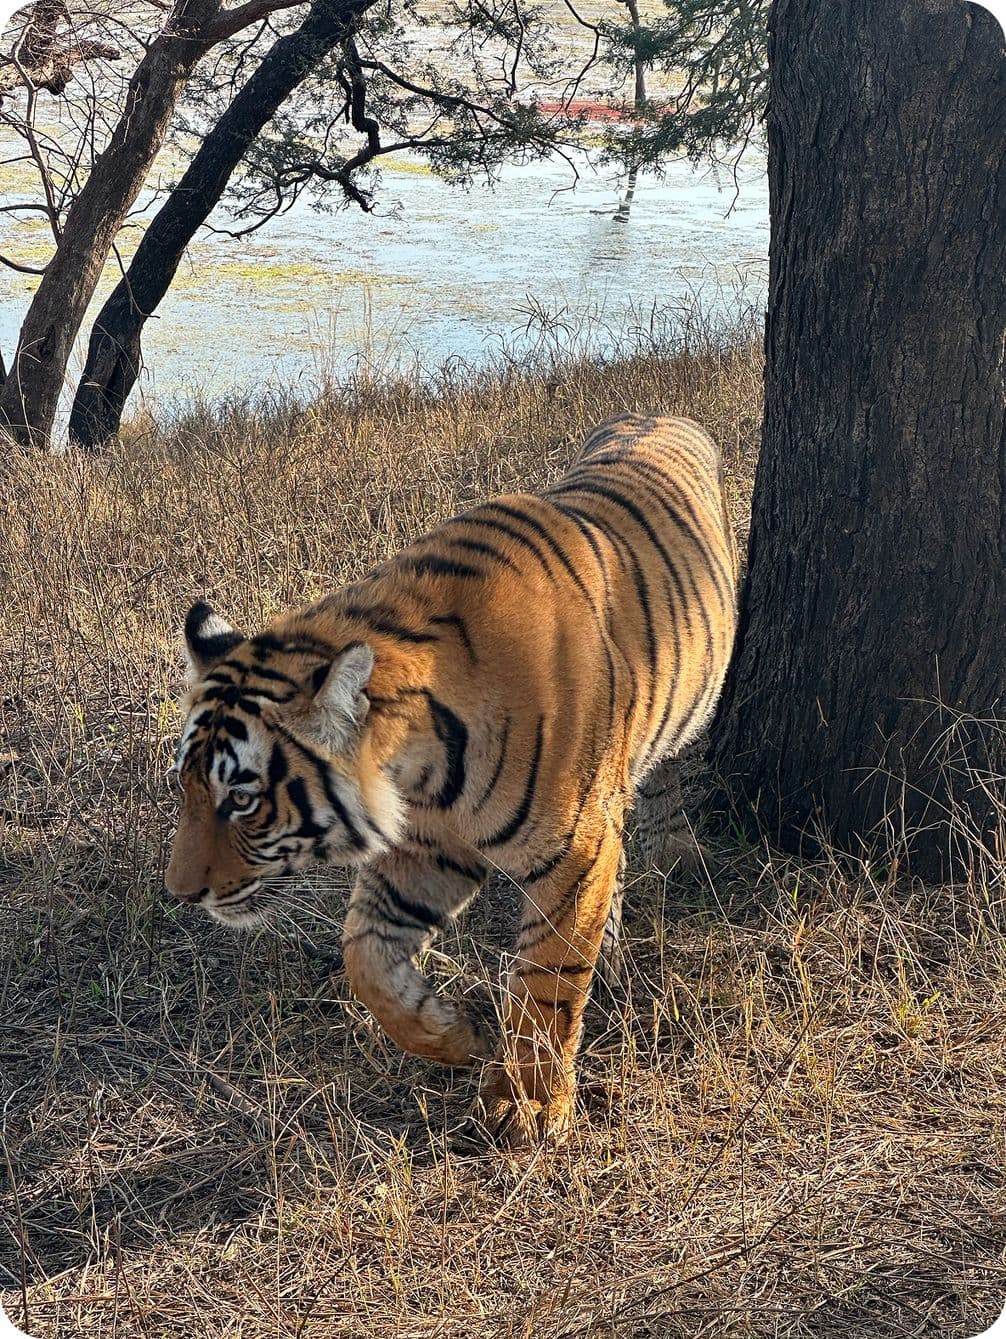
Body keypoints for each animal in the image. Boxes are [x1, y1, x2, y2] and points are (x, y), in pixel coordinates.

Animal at [165, 413, 739, 1147]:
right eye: (185, 786)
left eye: (242, 799)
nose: (182, 893)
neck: (420, 764)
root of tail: (657, 413)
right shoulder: (429, 848)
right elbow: (364, 956)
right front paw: (455, 1036)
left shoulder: (572, 846)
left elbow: (546, 979)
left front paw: (530, 1107)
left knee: (658, 791)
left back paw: (667, 859)